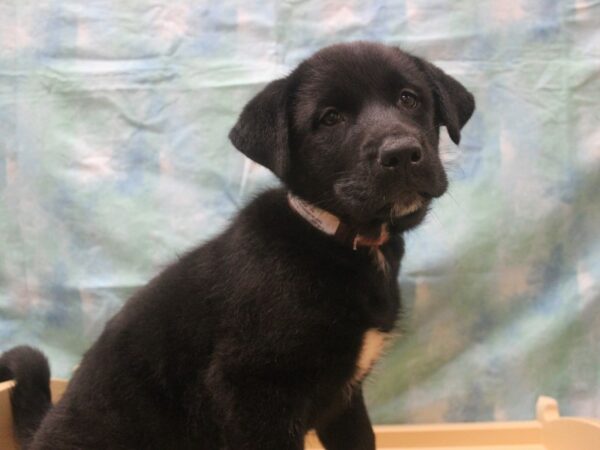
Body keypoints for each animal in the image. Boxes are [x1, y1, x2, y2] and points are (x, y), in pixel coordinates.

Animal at [2, 40, 476, 448]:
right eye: (330, 118)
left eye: (409, 99)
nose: (401, 153)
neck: (338, 240)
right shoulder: (253, 393)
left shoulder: (345, 401)